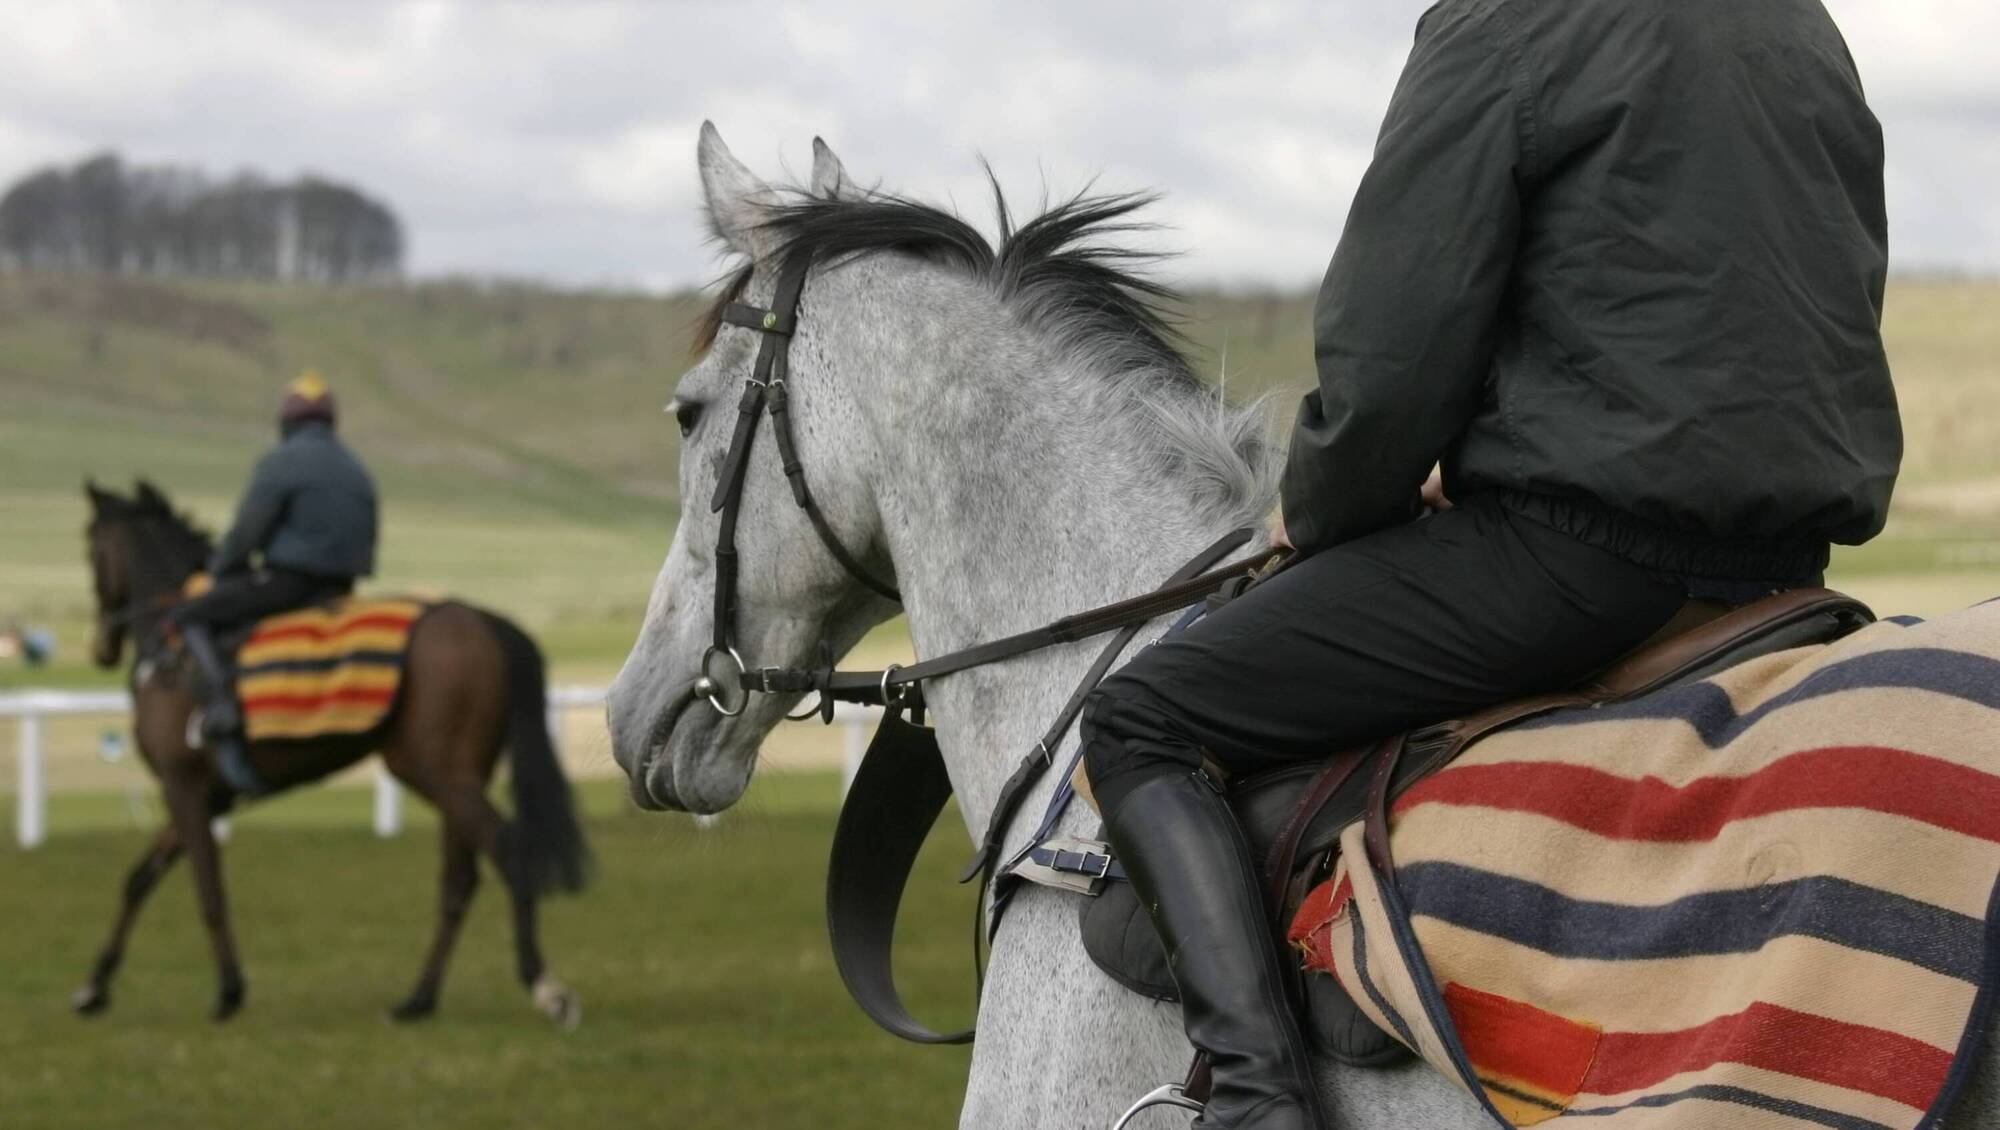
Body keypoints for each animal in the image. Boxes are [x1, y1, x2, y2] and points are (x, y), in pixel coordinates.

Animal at [78, 478, 588, 1027]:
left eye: (90, 545)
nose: (101, 647)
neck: (174, 651)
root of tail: (480, 618)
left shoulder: (184, 787)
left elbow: (208, 890)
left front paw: (229, 990)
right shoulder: (205, 796)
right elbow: (139, 879)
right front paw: (94, 987)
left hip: (436, 772)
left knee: (507, 852)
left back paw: (546, 988)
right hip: (461, 774)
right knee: (460, 881)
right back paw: (418, 999)